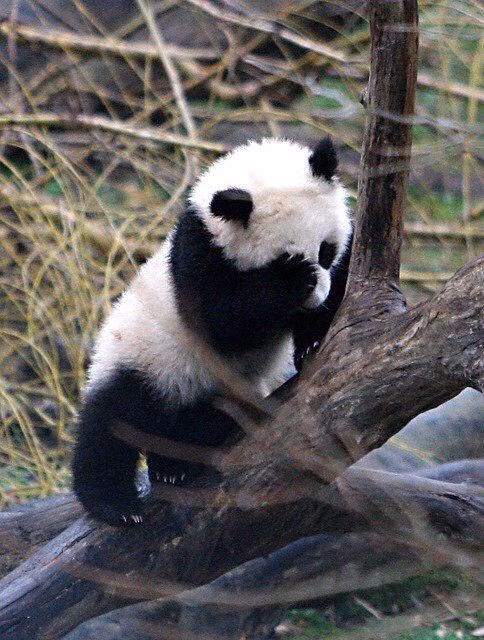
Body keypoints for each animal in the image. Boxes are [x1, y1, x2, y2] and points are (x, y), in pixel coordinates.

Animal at [72, 137, 352, 525]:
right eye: (282, 257)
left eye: (326, 250)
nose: (316, 298)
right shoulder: (198, 257)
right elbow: (223, 324)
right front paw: (291, 283)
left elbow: (340, 283)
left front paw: (312, 338)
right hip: (140, 359)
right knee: (111, 424)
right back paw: (116, 503)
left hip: (224, 389)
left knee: (206, 420)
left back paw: (173, 463)